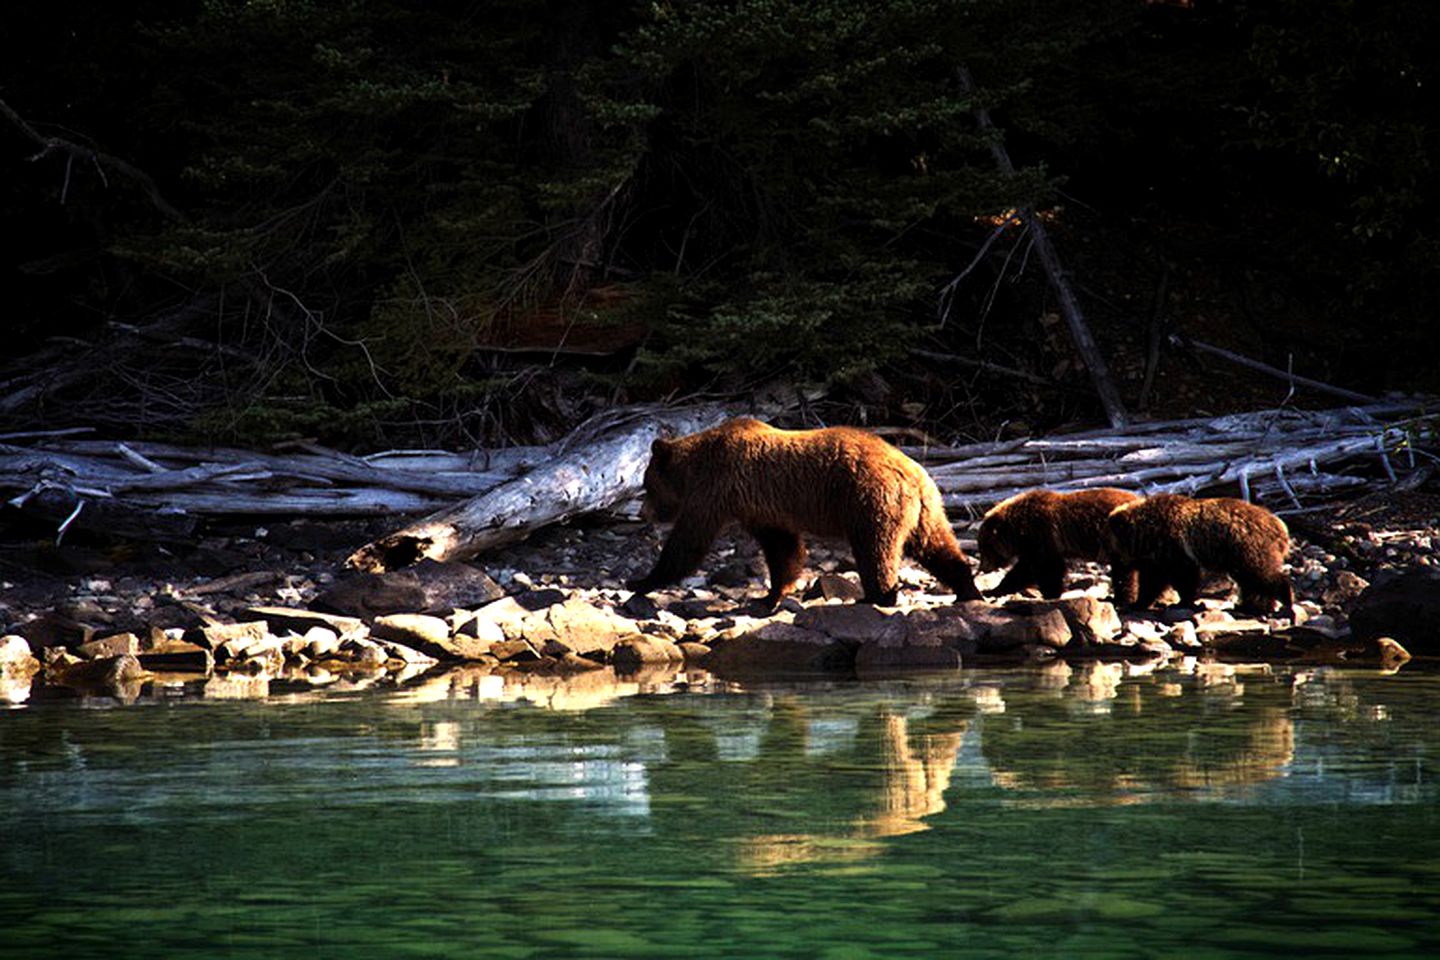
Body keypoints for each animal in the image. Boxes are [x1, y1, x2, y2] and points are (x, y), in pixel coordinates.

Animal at [624, 417, 984, 604]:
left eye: (646, 484)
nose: (643, 513)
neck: (694, 468)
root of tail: (913, 472)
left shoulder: (716, 490)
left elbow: (689, 542)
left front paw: (641, 580)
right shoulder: (761, 508)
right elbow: (783, 548)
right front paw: (770, 595)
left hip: (870, 500)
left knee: (875, 550)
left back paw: (876, 596)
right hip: (925, 511)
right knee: (937, 546)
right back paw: (967, 589)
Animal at [973, 489, 1140, 601]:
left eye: (985, 548)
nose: (983, 568)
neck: (1018, 529)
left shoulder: (1041, 536)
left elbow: (1045, 569)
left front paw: (1051, 594)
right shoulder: (1036, 545)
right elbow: (1025, 570)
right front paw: (992, 590)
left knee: (1123, 571)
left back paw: (1121, 599)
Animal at [1100, 495, 1296, 616]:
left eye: (1112, 550)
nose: (1116, 575)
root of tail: (1280, 527)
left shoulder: (1172, 548)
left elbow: (1174, 577)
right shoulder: (1161, 555)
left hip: (1247, 545)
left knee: (1261, 573)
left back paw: (1285, 598)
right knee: (1250, 579)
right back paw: (1252, 605)